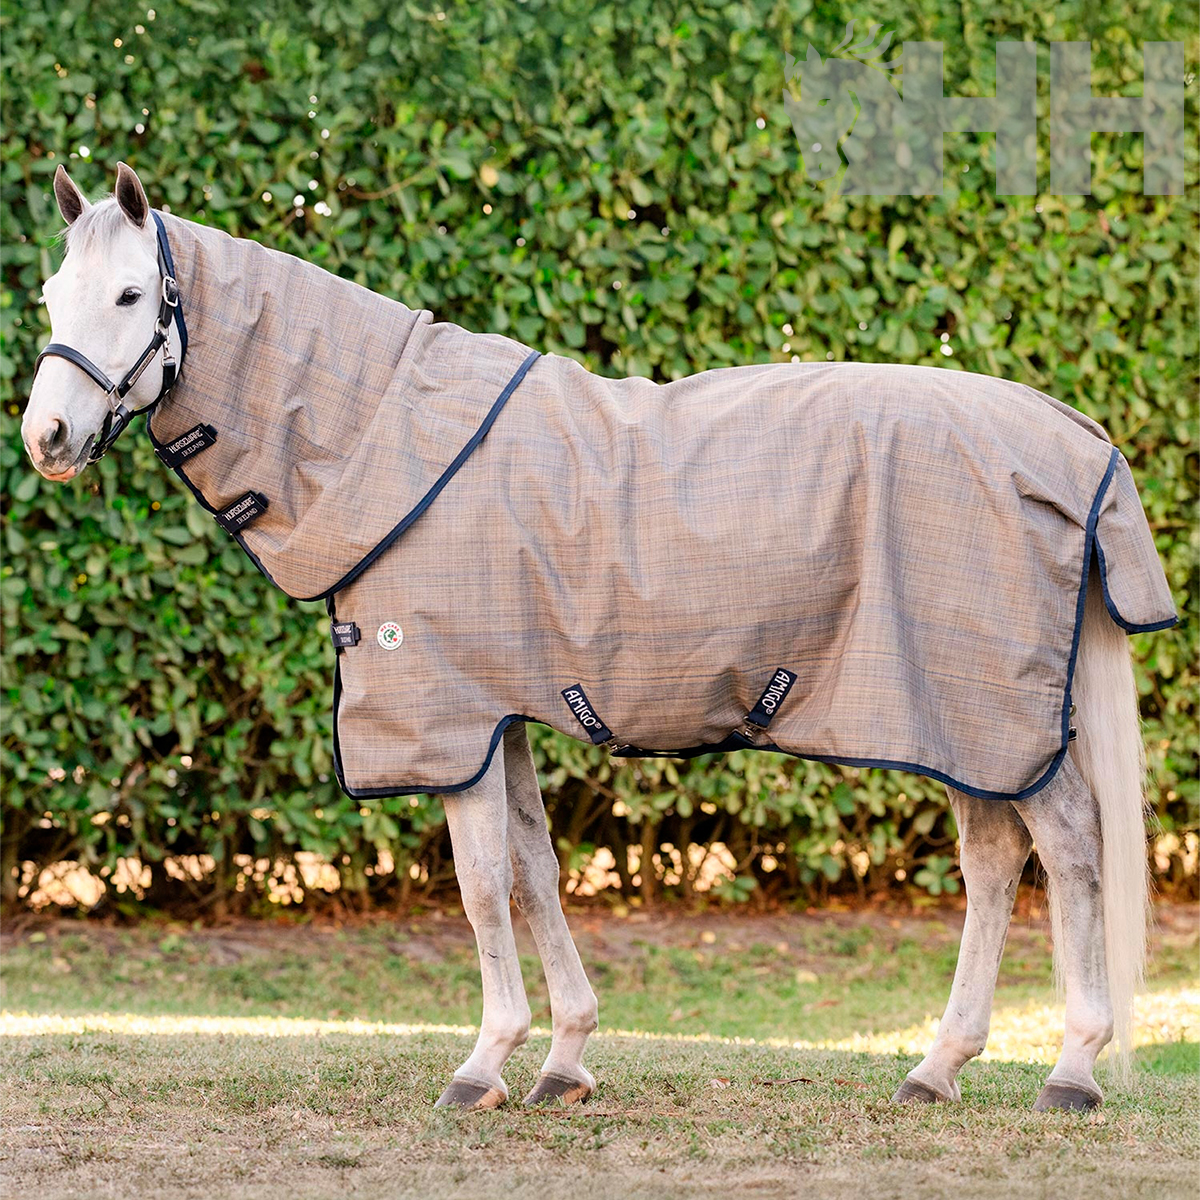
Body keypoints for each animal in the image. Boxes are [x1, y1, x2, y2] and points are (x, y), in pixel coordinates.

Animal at [22, 163, 1172, 1114]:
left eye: (130, 297)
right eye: (48, 296)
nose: (47, 438)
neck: (383, 442)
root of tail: (1074, 441)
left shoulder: (450, 718)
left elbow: (483, 886)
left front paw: (483, 1063)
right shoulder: (503, 716)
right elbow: (535, 870)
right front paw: (564, 1059)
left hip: (984, 714)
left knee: (1067, 849)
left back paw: (1072, 1069)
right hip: (959, 721)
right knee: (995, 860)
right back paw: (938, 1068)